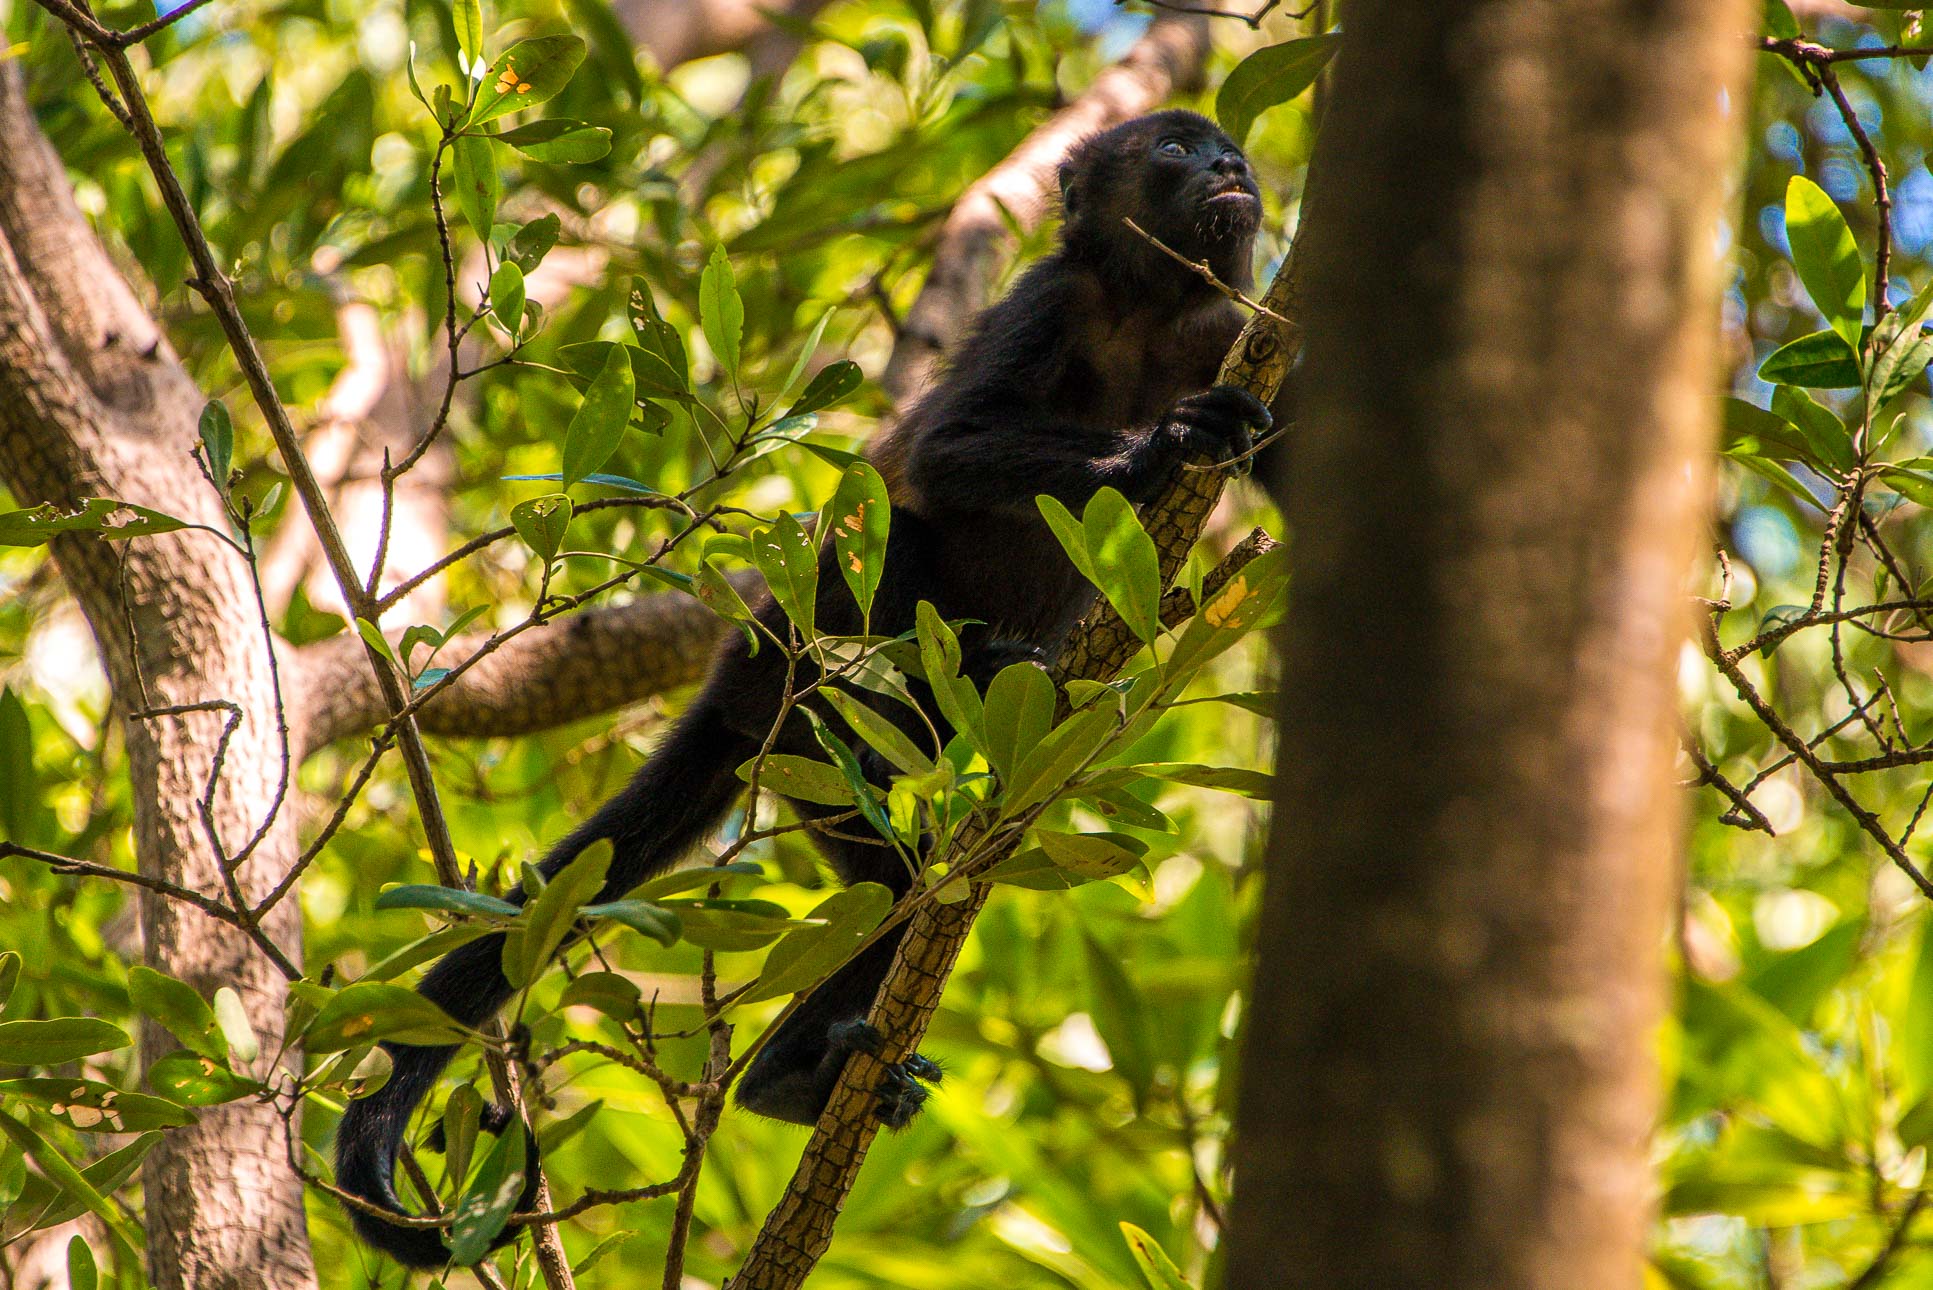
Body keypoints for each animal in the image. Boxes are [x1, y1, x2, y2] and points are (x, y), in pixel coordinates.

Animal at [335, 108, 1279, 1267]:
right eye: (1172, 151)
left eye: (1226, 148)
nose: (1229, 167)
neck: (1154, 310)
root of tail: (744, 672)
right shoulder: (1046, 301)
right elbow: (944, 449)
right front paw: (1165, 442)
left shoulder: (1240, 326)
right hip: (806, 668)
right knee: (893, 543)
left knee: (904, 885)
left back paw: (801, 1073)